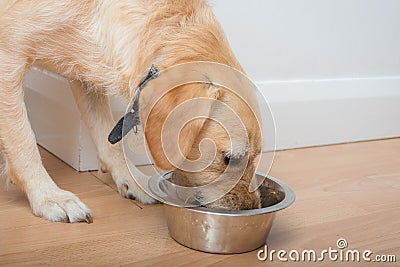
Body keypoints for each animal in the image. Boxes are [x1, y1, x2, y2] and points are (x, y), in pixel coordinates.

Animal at [0, 0, 262, 224]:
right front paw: (48, 196)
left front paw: (130, 178)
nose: (251, 207)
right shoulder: (8, 60)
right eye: (229, 158)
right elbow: (24, 143)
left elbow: (107, 139)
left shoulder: (84, 68)